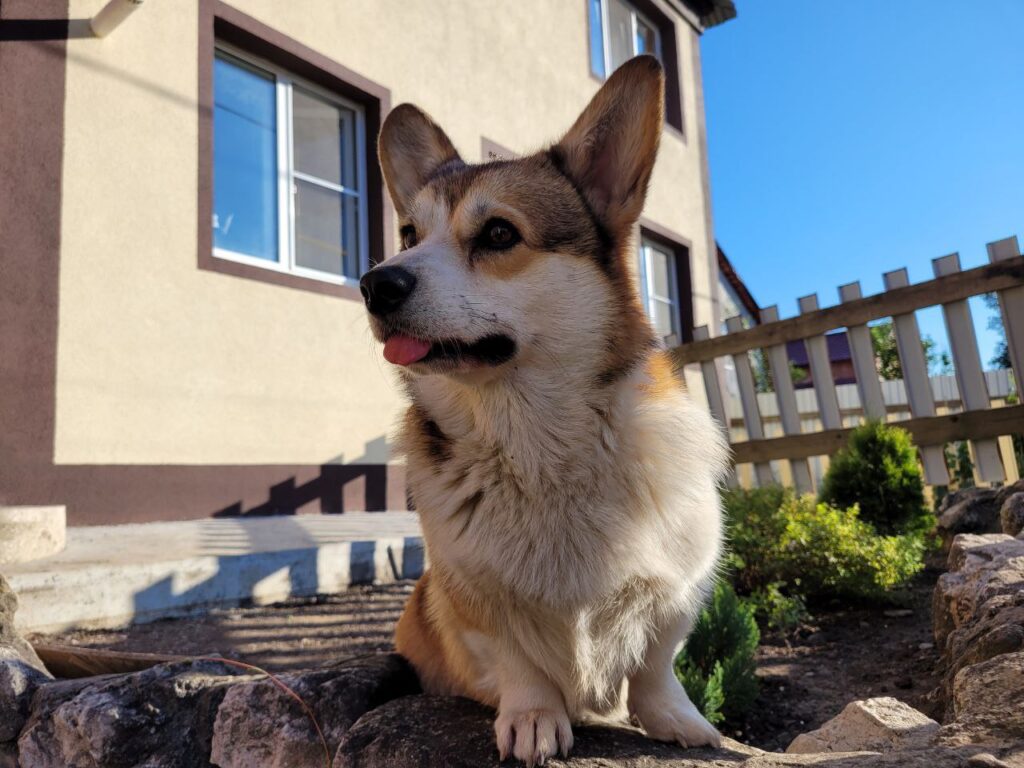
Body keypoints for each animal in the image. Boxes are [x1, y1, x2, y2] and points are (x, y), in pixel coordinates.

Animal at [359, 55, 729, 766]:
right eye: (409, 235)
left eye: (499, 233)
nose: (374, 283)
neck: (537, 443)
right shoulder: (473, 595)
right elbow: (518, 658)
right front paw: (534, 718)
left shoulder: (679, 584)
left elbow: (656, 661)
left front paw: (680, 721)